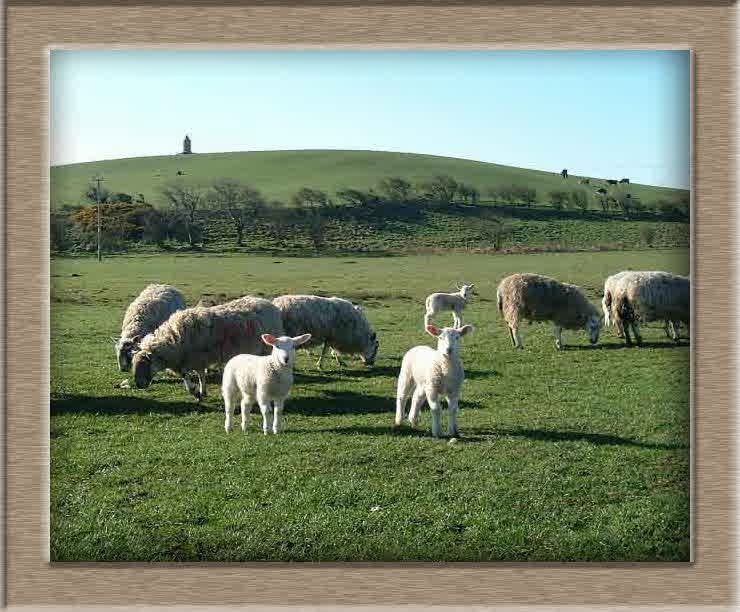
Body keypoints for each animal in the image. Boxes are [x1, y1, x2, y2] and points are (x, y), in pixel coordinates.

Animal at [132, 296, 284, 402]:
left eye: (145, 364)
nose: (139, 385)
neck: (174, 340)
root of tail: (270, 305)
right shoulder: (190, 359)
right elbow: (192, 375)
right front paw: (199, 392)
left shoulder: (196, 358)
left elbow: (193, 375)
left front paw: (197, 391)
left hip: (265, 347)